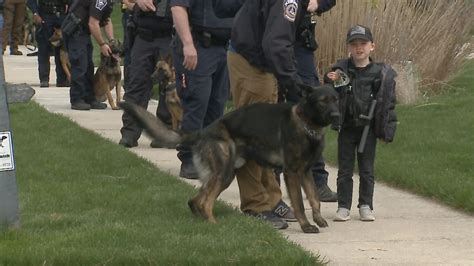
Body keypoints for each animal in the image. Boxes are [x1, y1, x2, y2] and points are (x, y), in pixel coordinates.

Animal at [120, 84, 338, 233]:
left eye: (335, 99)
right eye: (322, 101)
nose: (337, 116)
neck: (306, 123)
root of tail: (204, 131)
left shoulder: (306, 172)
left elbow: (314, 198)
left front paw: (318, 220)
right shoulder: (292, 173)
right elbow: (300, 204)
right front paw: (306, 226)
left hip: (224, 175)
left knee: (196, 199)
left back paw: (201, 220)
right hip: (224, 173)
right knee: (205, 202)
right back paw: (214, 225)